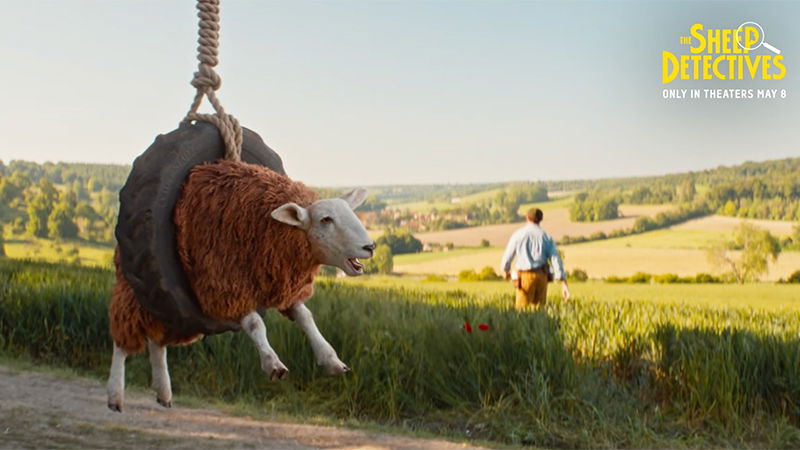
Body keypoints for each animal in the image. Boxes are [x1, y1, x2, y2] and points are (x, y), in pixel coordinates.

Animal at [107, 160, 375, 412]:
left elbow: (306, 318)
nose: (370, 247)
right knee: (122, 341)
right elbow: (256, 324)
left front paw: (331, 360)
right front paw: (272, 363)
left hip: (172, 311)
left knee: (156, 341)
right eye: (326, 219)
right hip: (136, 294)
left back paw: (163, 392)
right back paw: (115, 395)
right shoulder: (228, 285)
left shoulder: (282, 287)